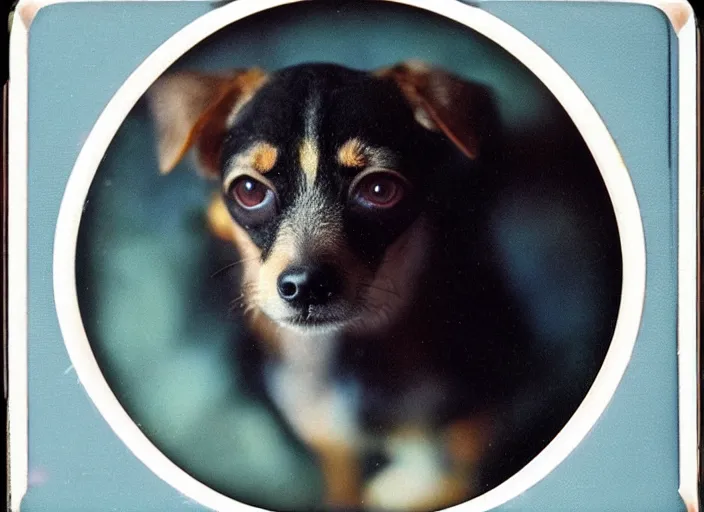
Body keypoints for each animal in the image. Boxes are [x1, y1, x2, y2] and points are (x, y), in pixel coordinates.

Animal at [147, 62, 544, 510]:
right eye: (248, 190)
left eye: (379, 189)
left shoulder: (485, 409)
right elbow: (346, 487)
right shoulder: (329, 438)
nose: (306, 285)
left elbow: (458, 468)